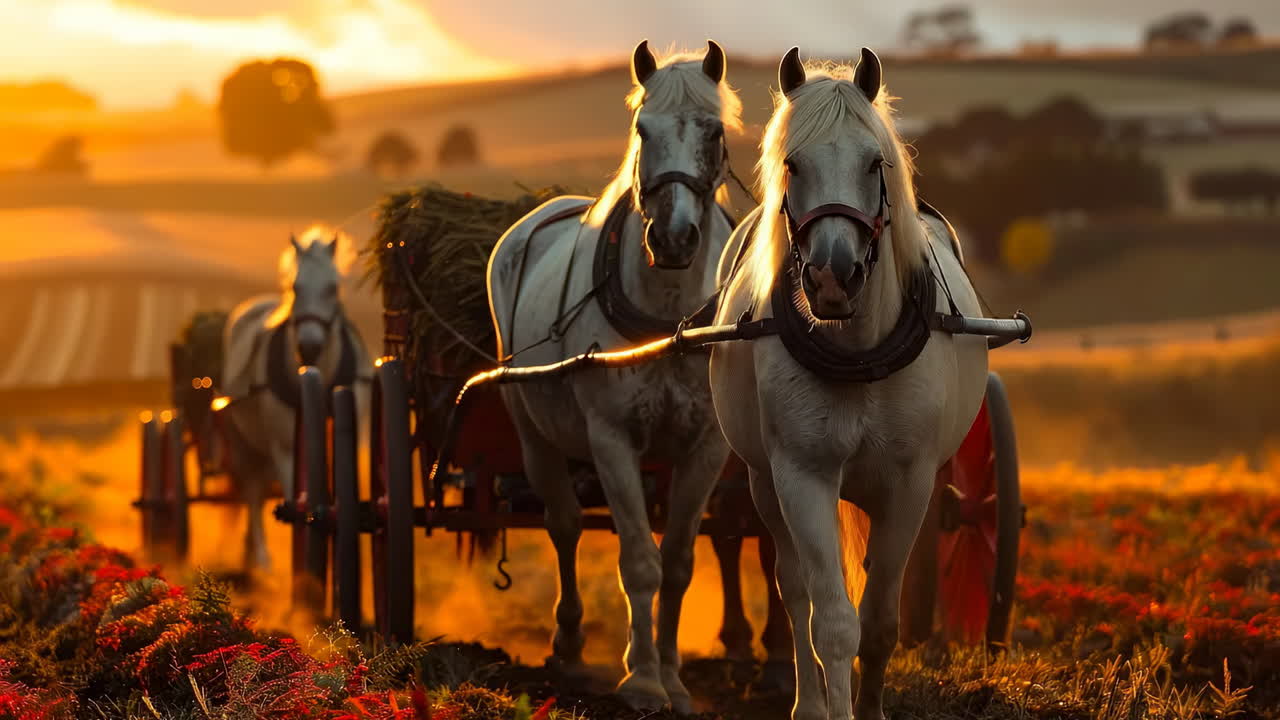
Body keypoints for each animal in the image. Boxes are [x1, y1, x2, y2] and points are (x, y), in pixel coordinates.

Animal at [220, 228, 371, 571]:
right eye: (295, 287)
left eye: (332, 287)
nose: (310, 347)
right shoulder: (286, 449)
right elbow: (294, 498)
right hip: (246, 443)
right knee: (253, 492)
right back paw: (261, 557)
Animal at [486, 40, 742, 712]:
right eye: (641, 129)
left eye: (713, 131)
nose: (674, 238)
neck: (668, 316)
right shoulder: (611, 438)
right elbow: (639, 562)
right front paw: (644, 679)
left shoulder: (705, 447)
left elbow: (676, 560)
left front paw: (674, 677)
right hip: (534, 435)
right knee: (564, 525)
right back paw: (569, 645)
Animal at [709, 48, 988, 720]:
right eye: (792, 162)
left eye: (873, 162)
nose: (833, 277)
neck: (858, 355)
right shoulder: (801, 475)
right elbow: (832, 622)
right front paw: (830, 703)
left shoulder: (910, 485)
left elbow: (881, 622)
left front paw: (872, 702)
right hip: (763, 481)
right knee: (794, 592)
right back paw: (807, 699)